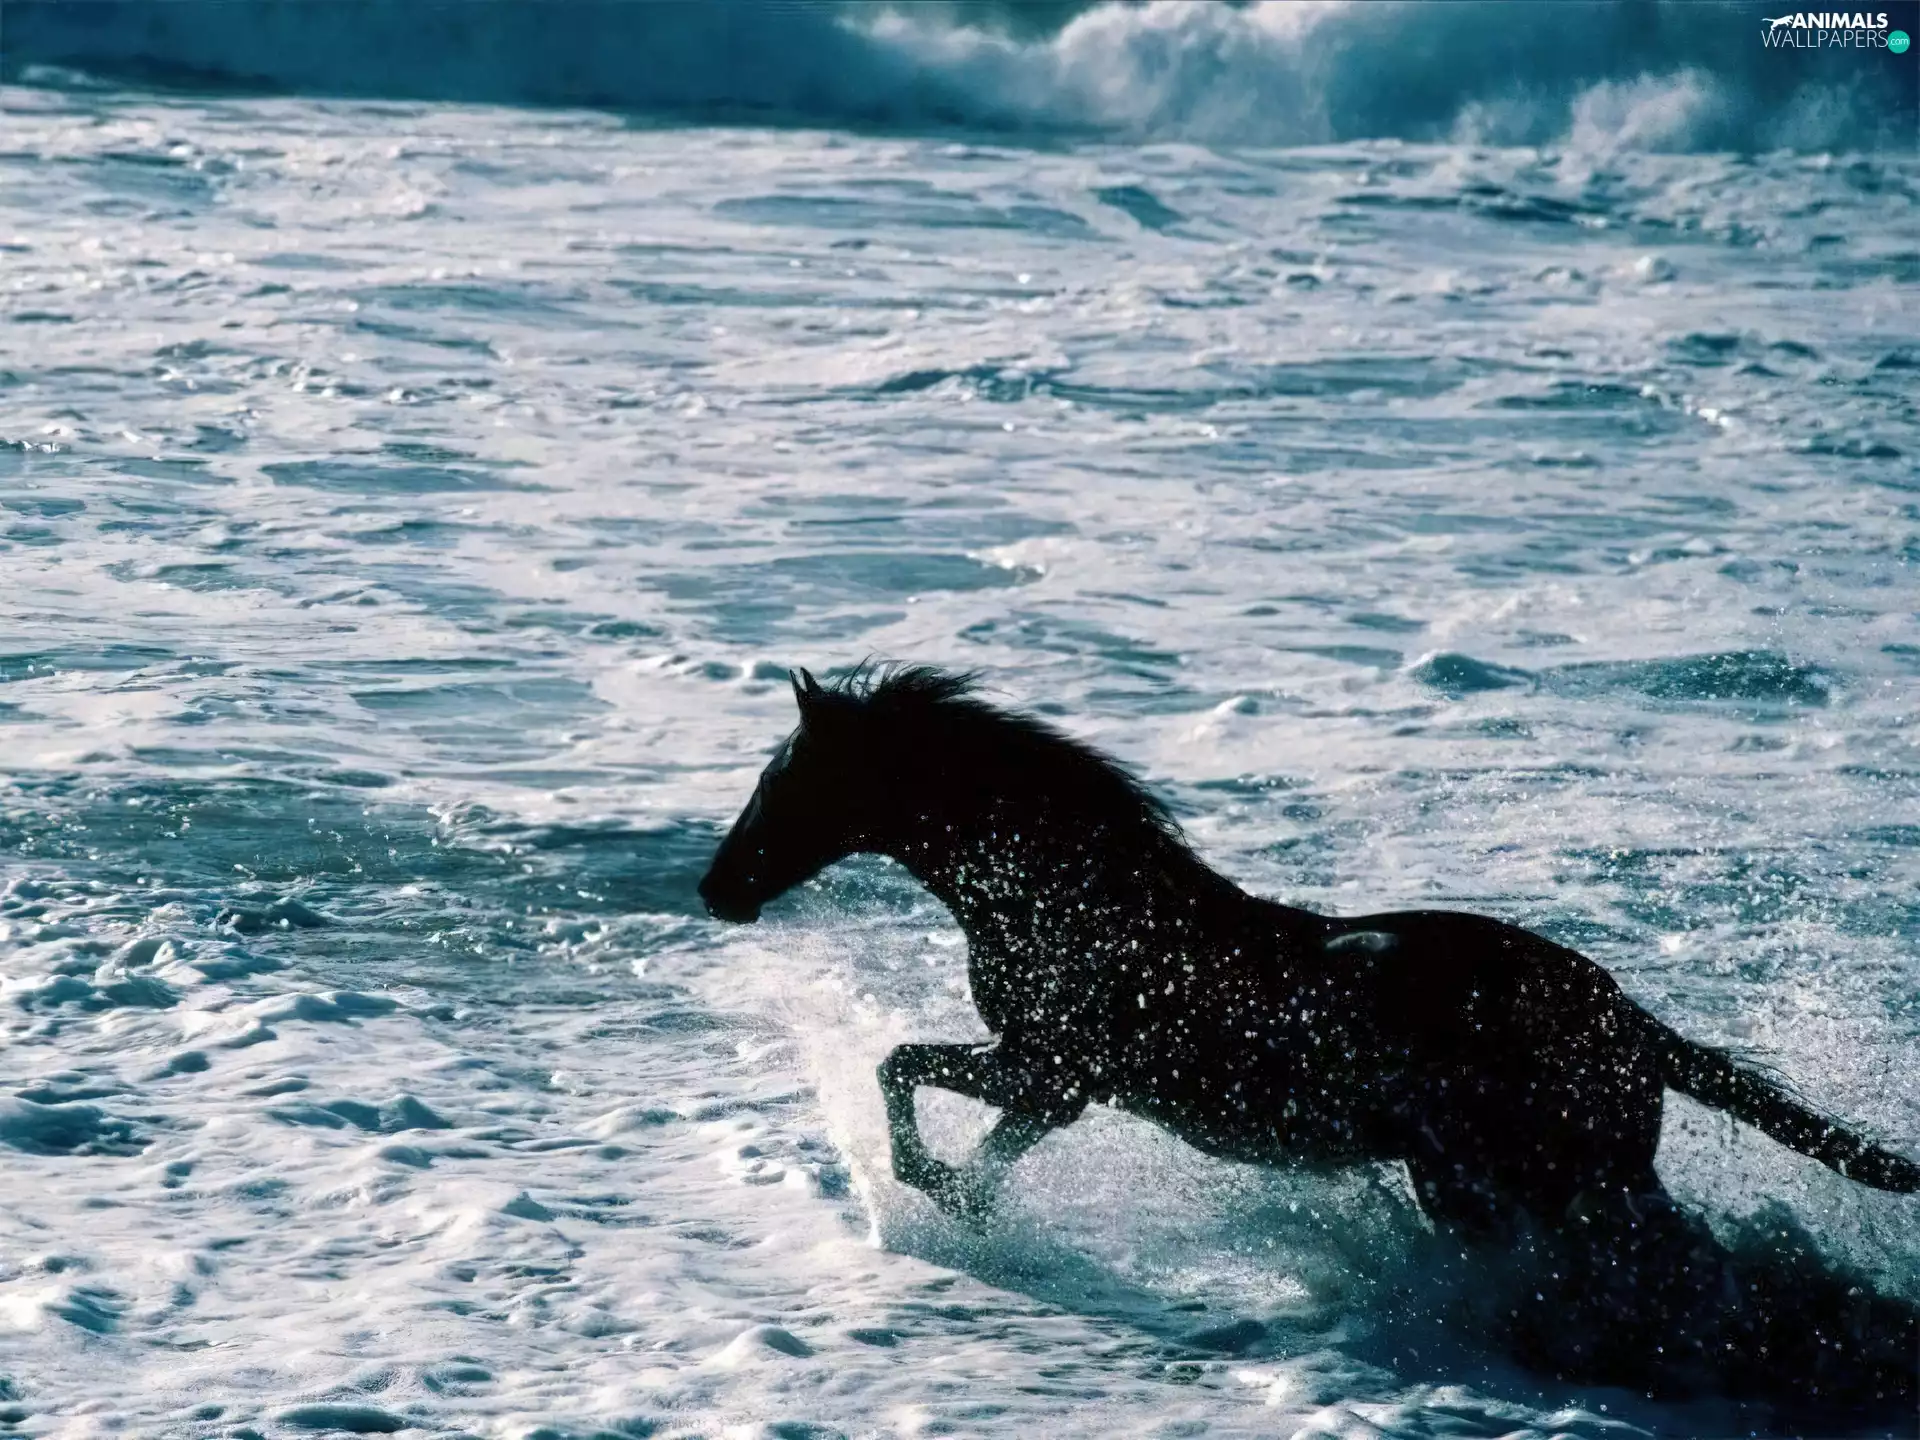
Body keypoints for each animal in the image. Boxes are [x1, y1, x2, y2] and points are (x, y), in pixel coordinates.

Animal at [697, 665, 1920, 1239]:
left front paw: (933, 1190)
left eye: (785, 782)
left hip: (1541, 1180)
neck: (1063, 899)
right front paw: (967, 1200)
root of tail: (1629, 1019)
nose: (715, 890)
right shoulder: (1059, 1089)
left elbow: (899, 1066)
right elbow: (954, 1112)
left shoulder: (1051, 1070)